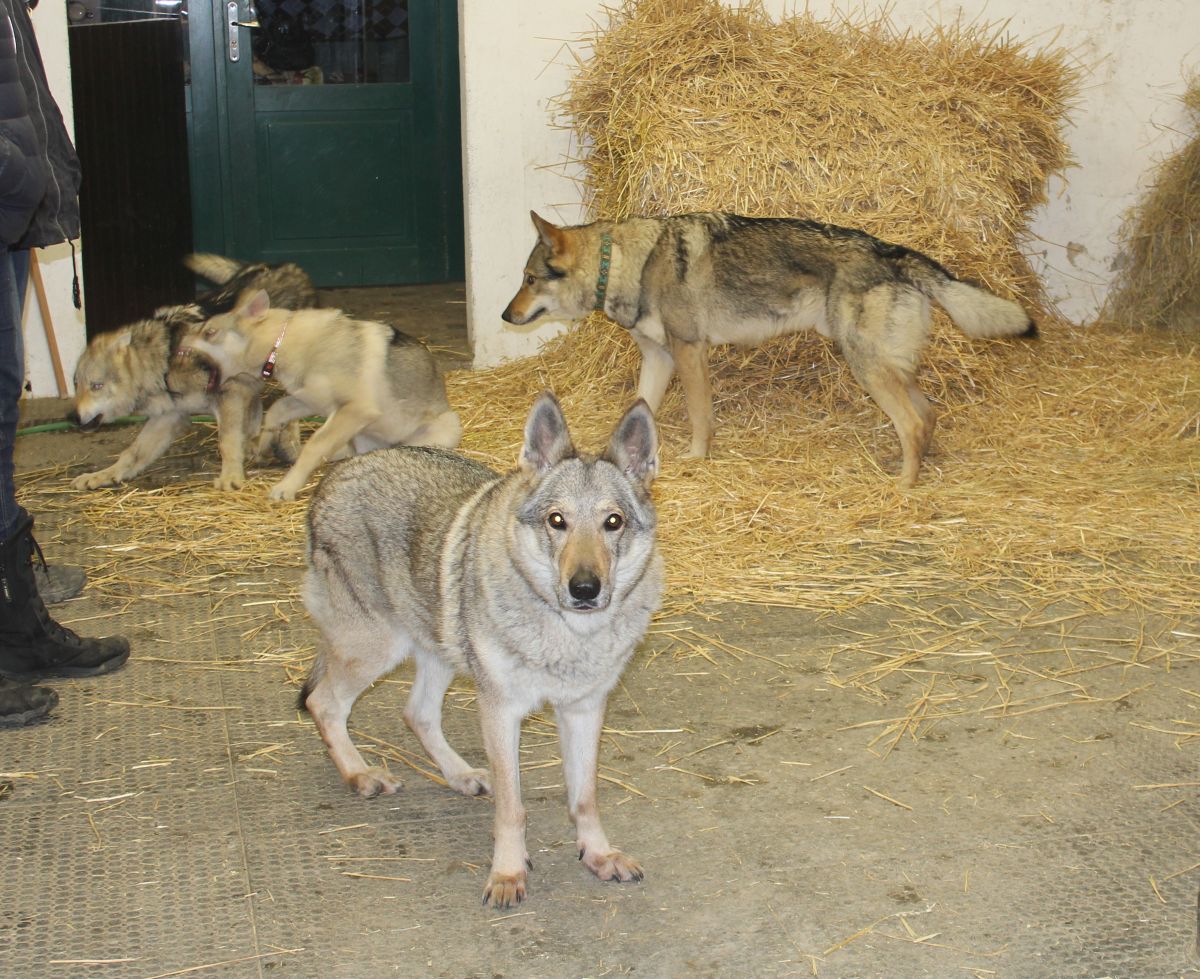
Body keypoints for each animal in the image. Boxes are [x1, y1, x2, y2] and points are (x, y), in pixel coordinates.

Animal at [296, 391, 662, 911]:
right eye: (557, 521)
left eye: (613, 523)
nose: (585, 589)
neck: (569, 635)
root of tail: (336, 472)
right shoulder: (500, 709)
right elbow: (512, 807)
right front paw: (507, 873)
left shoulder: (584, 708)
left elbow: (585, 797)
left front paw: (598, 854)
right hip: (374, 650)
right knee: (322, 703)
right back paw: (361, 775)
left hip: (436, 650)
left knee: (416, 713)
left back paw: (460, 775)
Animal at [501, 213, 1036, 489]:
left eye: (528, 279)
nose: (506, 315)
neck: (625, 264)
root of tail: (894, 252)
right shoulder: (658, 359)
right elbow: (638, 411)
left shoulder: (689, 352)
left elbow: (700, 417)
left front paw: (696, 459)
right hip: (886, 366)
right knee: (928, 414)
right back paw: (912, 466)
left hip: (866, 364)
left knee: (914, 421)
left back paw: (902, 486)